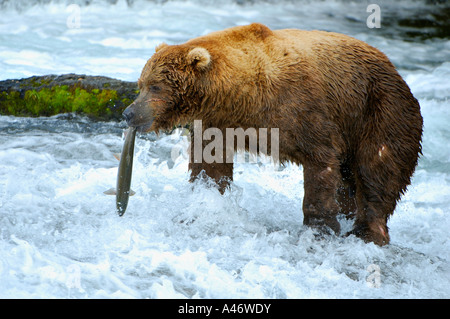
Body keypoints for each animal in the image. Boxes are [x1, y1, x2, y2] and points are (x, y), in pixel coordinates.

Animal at [123, 23, 422, 248]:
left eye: (156, 86)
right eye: (141, 84)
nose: (129, 113)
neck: (242, 95)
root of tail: (397, 73)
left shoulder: (304, 108)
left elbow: (322, 161)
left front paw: (318, 228)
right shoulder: (219, 122)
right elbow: (210, 164)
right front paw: (205, 205)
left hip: (380, 110)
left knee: (377, 171)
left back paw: (367, 232)